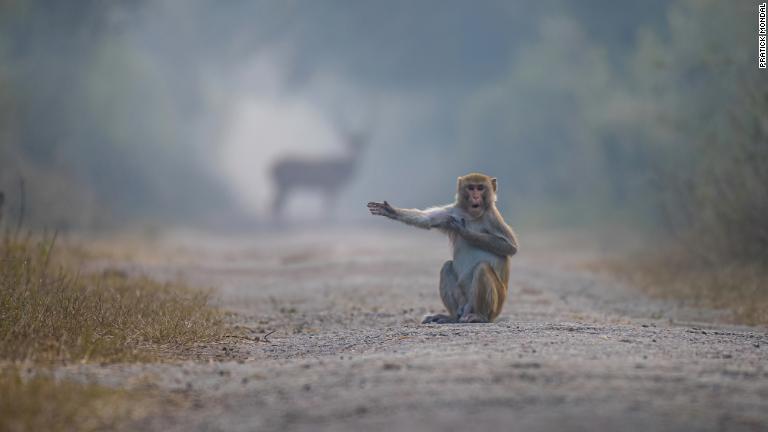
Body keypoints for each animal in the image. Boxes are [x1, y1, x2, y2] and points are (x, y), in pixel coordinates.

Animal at [368, 174, 520, 322]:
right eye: (471, 188)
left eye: (480, 188)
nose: (476, 197)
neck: (471, 215)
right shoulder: (451, 211)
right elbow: (427, 220)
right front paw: (390, 210)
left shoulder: (493, 217)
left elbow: (510, 247)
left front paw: (466, 232)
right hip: (464, 301)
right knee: (446, 267)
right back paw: (452, 317)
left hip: (496, 306)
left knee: (482, 268)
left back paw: (480, 316)